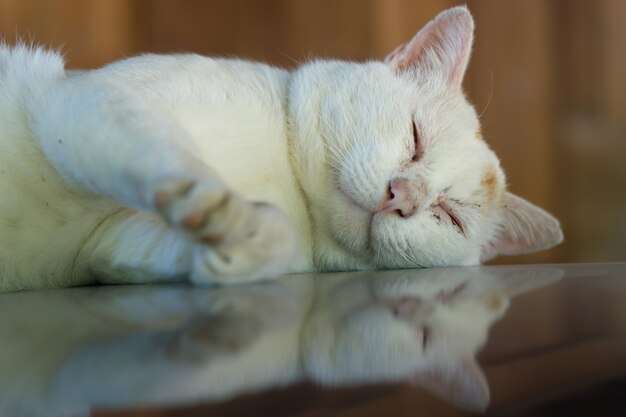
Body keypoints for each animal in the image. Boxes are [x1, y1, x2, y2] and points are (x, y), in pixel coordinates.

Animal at [0, 5, 560, 290]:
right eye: (415, 137)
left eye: (449, 214)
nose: (401, 195)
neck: (285, 184)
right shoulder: (86, 102)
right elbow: (169, 157)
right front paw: (222, 206)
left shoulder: (102, 245)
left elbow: (269, 237)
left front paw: (239, 244)